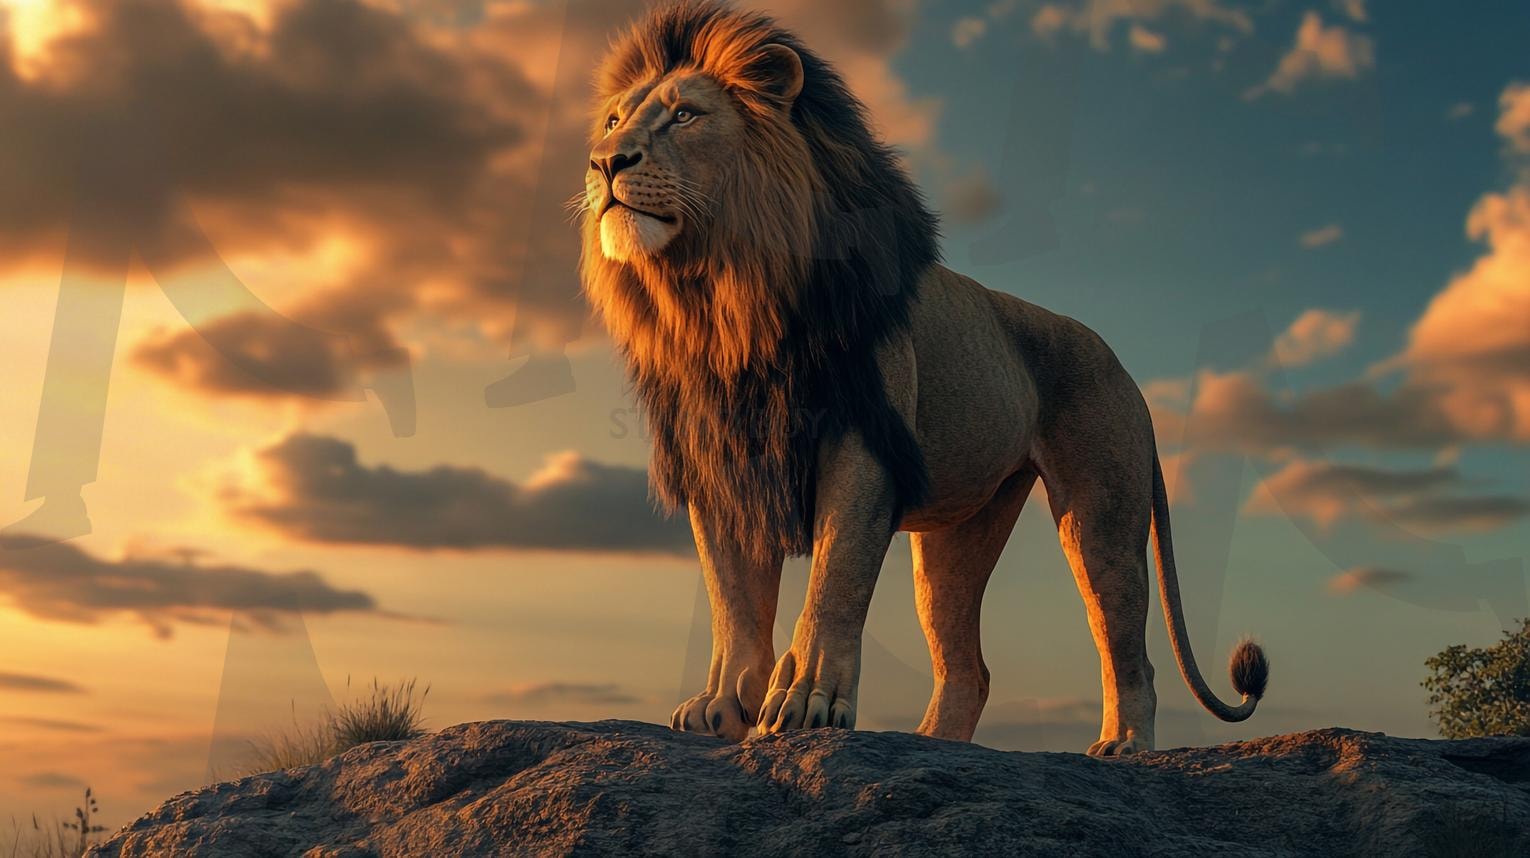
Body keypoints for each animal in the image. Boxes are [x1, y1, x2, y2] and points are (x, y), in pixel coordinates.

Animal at [578, 0, 1268, 756]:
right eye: (613, 121)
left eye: (685, 115)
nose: (604, 161)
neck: (724, 299)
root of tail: (1122, 366)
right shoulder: (721, 462)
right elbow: (733, 599)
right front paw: (721, 708)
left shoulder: (863, 443)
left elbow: (835, 579)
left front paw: (807, 704)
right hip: (954, 537)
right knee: (970, 665)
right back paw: (936, 743)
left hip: (1101, 511)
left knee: (1126, 644)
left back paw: (1123, 745)